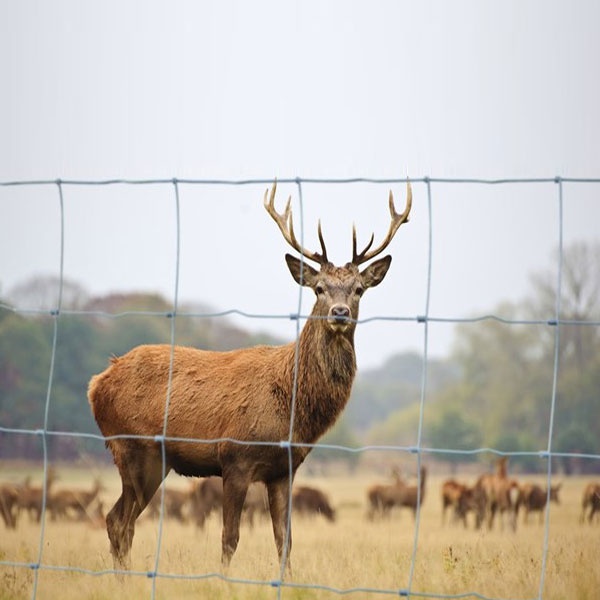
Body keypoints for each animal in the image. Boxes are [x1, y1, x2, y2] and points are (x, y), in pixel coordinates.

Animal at [86, 179, 412, 572]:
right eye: (318, 288)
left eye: (359, 290)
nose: (339, 312)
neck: (292, 405)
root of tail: (97, 383)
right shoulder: (235, 458)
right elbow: (230, 538)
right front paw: (222, 578)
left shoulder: (285, 469)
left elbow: (285, 540)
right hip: (132, 447)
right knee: (118, 520)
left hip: (151, 459)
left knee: (120, 521)